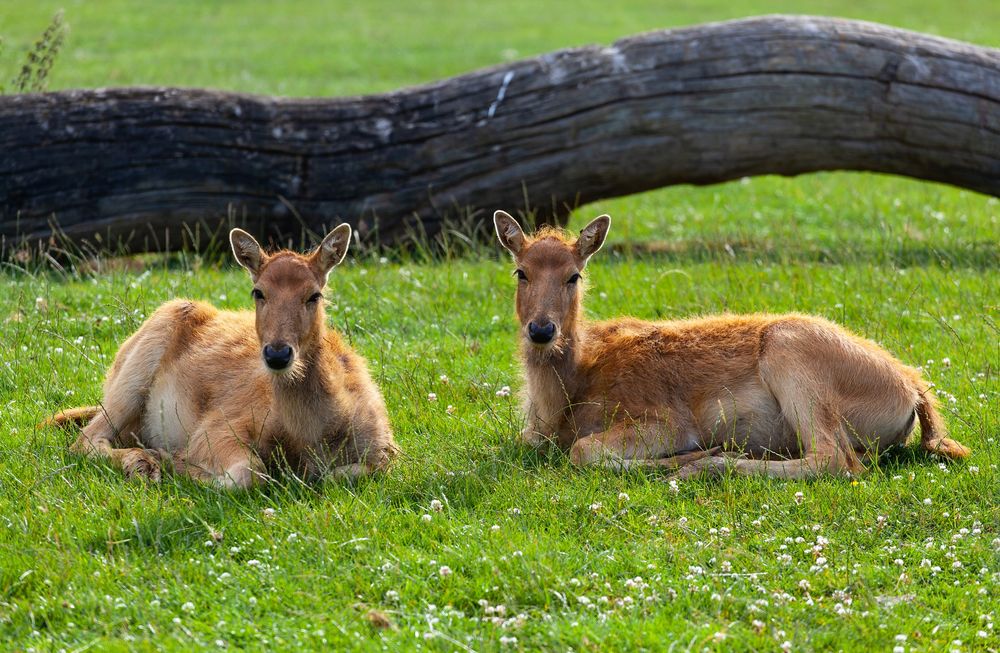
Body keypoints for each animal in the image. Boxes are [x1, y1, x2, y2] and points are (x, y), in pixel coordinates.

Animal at [47, 227, 398, 486]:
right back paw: (143, 462)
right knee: (84, 439)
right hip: (132, 376)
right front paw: (174, 462)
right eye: (258, 292)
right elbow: (250, 473)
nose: (278, 353)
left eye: (314, 295)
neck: (316, 436)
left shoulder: (386, 449)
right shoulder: (218, 425)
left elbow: (348, 474)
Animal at [496, 211, 972, 476]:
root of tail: (914, 390)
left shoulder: (664, 419)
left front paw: (680, 460)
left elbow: (582, 450)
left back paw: (705, 465)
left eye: (574, 275)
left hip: (791, 354)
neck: (570, 392)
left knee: (836, 460)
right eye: (521, 271)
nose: (542, 330)